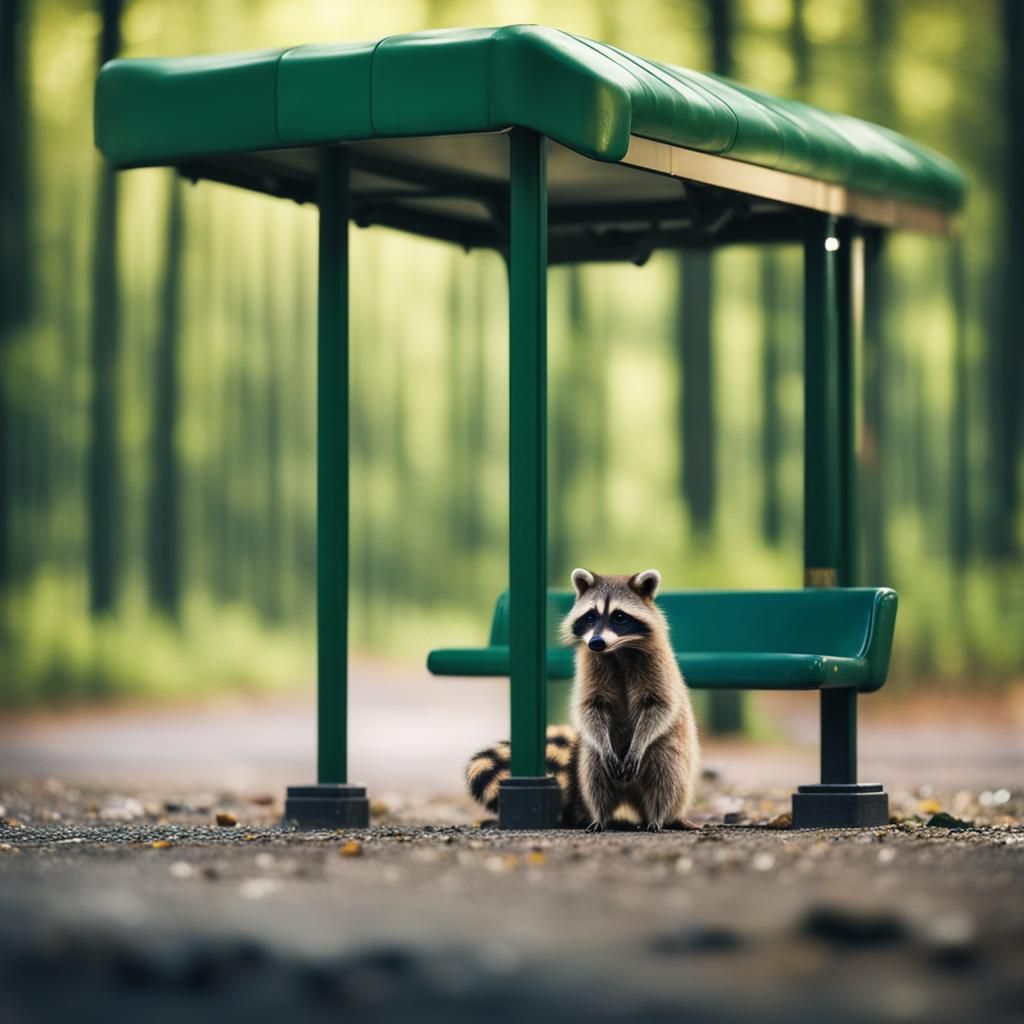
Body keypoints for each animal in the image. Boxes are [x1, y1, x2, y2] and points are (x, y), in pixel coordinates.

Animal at [464, 568, 700, 831]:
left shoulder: (658, 664)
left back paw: (659, 816)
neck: (617, 650)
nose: (596, 642)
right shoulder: (590, 664)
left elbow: (660, 705)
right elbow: (590, 707)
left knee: (665, 773)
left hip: (672, 752)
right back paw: (600, 816)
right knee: (595, 773)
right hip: (591, 757)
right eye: (590, 617)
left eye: (619, 616)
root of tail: (633, 801)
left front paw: (640, 742)